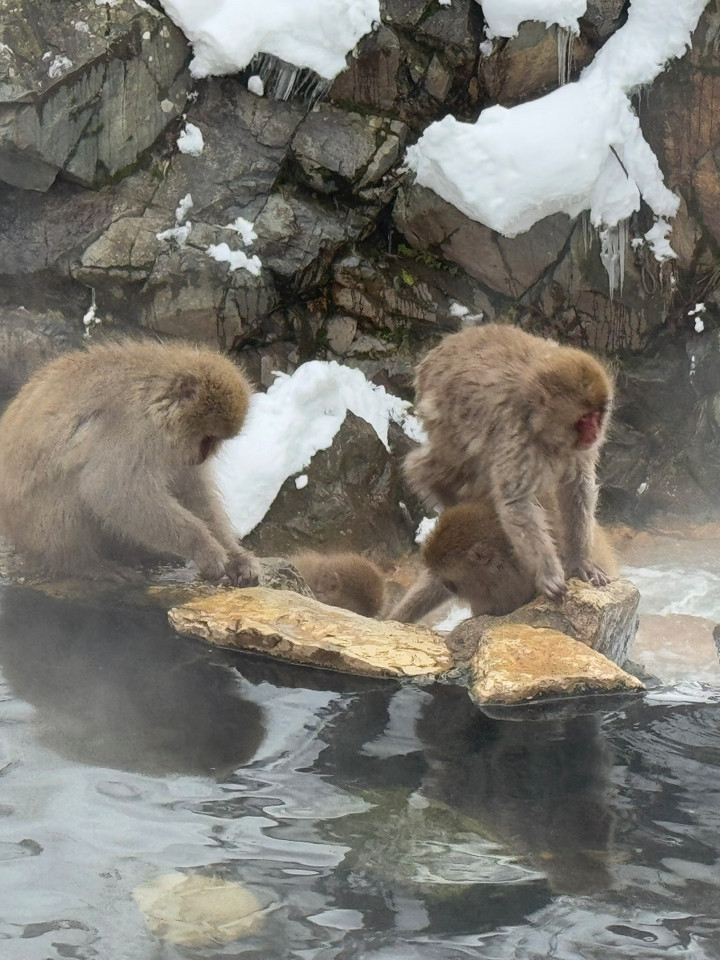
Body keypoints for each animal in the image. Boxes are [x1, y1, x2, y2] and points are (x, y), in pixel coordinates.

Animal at [0, 338, 259, 585]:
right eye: (207, 438)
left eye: (214, 441)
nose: (203, 456)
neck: (153, 398)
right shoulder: (133, 428)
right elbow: (113, 492)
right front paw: (204, 548)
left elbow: (191, 490)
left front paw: (236, 557)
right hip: (34, 526)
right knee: (69, 490)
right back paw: (85, 564)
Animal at [403, 323, 614, 601]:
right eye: (584, 420)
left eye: (597, 416)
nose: (595, 432)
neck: (538, 421)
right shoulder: (515, 434)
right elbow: (516, 501)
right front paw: (549, 574)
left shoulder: (578, 449)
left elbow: (576, 486)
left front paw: (580, 561)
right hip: (439, 410)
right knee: (443, 465)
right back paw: (430, 481)